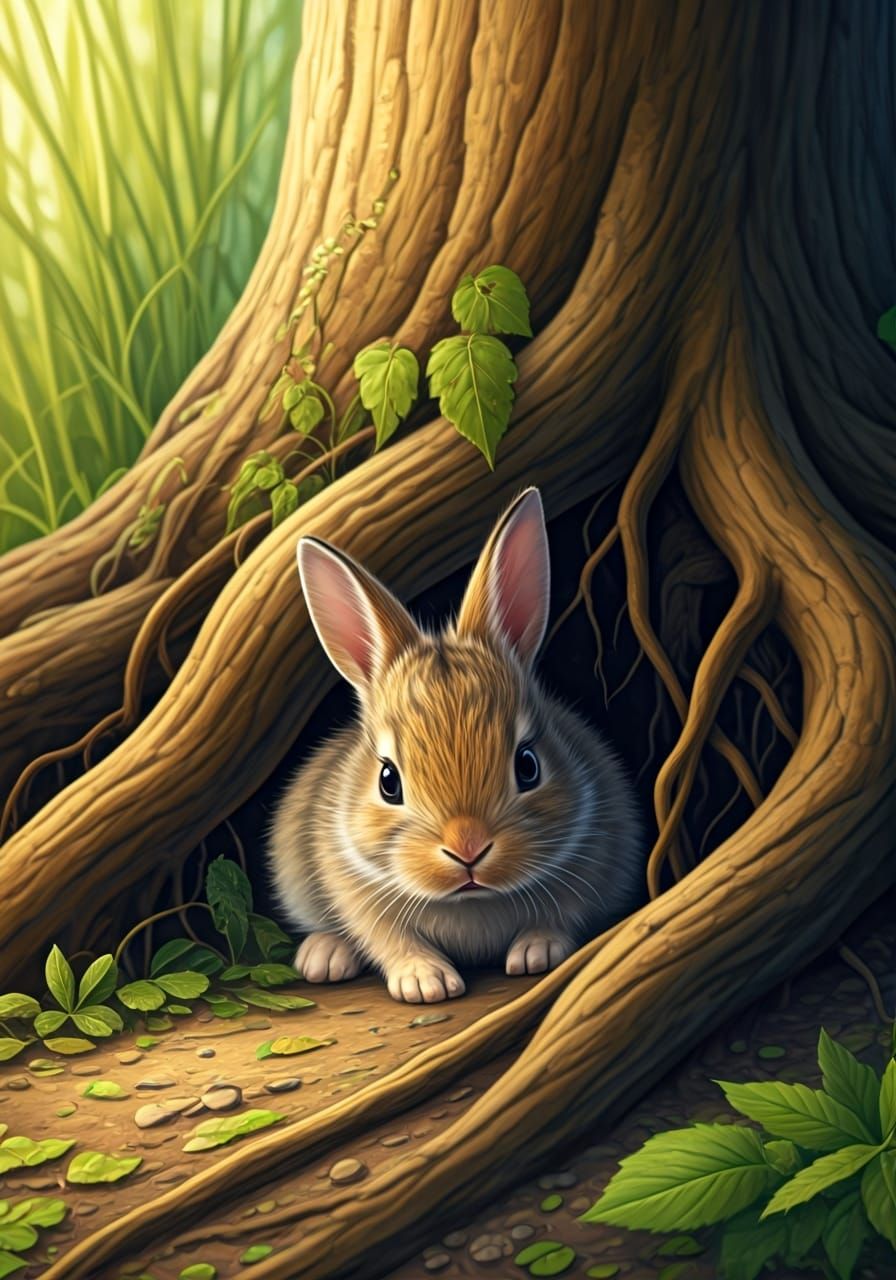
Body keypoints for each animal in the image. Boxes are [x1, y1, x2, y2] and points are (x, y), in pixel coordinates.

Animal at [268, 487, 643, 1003]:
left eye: (528, 765)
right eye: (388, 781)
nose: (468, 850)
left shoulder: (594, 849)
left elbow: (564, 913)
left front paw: (536, 953)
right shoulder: (352, 881)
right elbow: (386, 936)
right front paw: (425, 983)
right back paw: (324, 957)